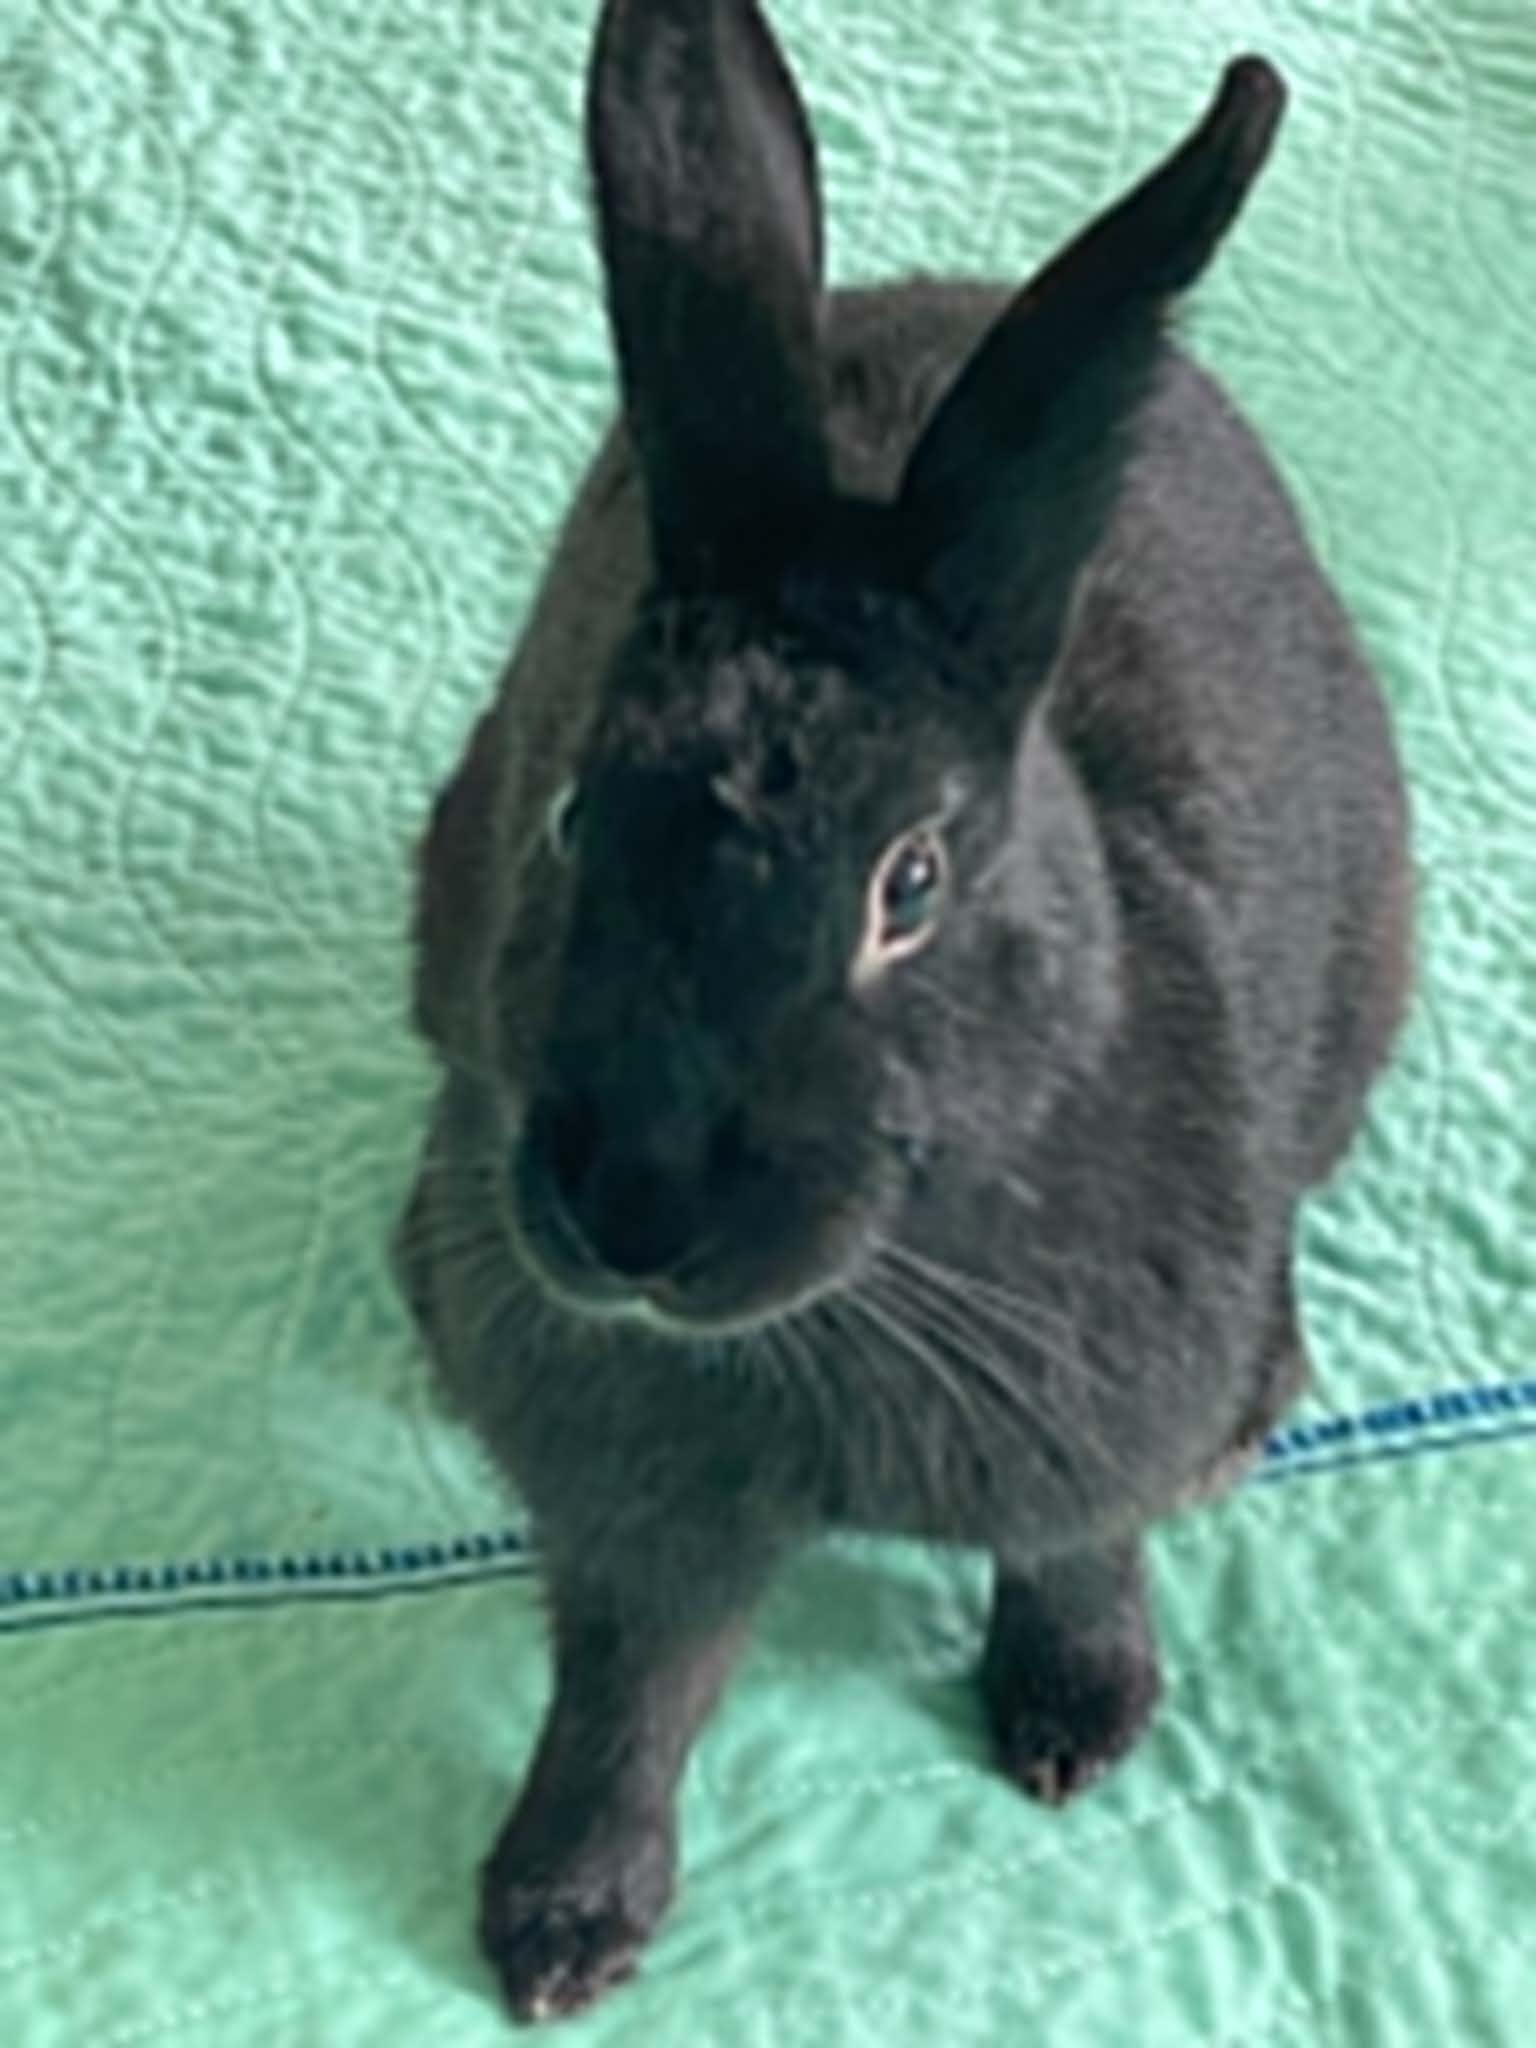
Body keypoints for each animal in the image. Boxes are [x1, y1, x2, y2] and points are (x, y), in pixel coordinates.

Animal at [394, 0, 1412, 2024]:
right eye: (574, 815)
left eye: (912, 883)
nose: (635, 1213)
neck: (845, 1315)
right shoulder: (635, 1515)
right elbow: (627, 1696)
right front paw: (558, 1927)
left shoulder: (1101, 1431)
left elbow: (1077, 1545)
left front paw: (1077, 1721)